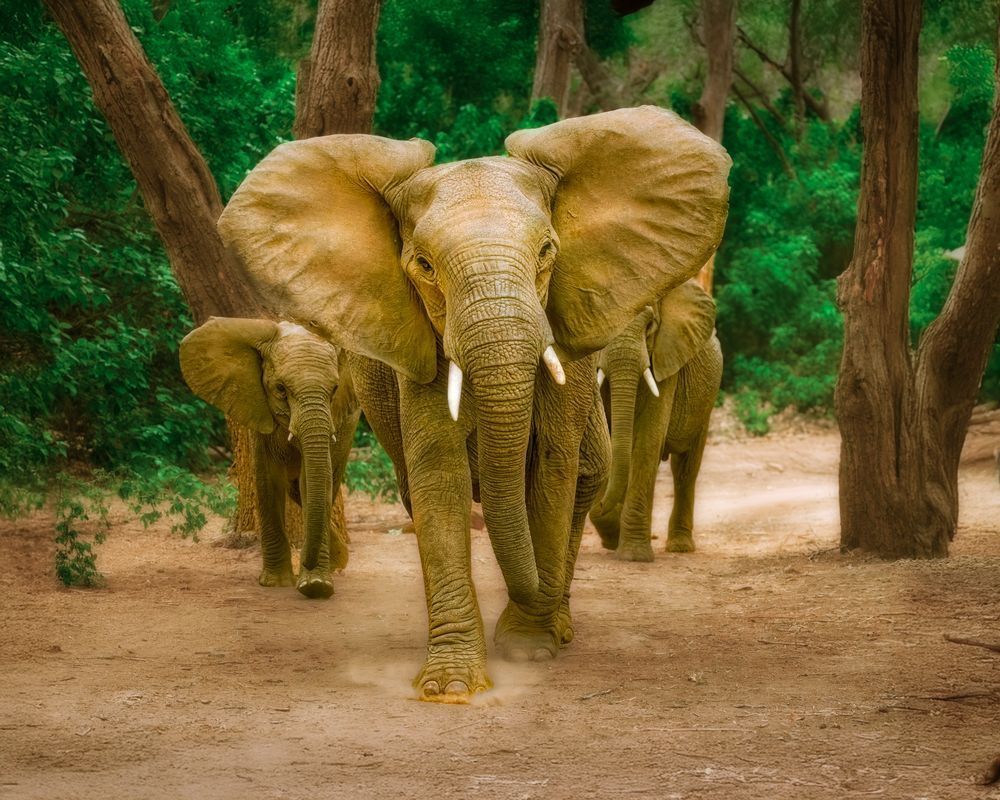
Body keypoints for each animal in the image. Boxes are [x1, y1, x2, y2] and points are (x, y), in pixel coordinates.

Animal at [180, 317, 360, 598]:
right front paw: (277, 582)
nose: (305, 561)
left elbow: (312, 482)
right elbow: (268, 481)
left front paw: (316, 586)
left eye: (334, 390)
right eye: (281, 389)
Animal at [589, 281, 722, 561]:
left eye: (650, 324)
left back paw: (679, 547)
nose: (604, 505)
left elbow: (647, 439)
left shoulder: (666, 358)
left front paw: (633, 556)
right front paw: (614, 538)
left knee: (685, 469)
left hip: (706, 405)